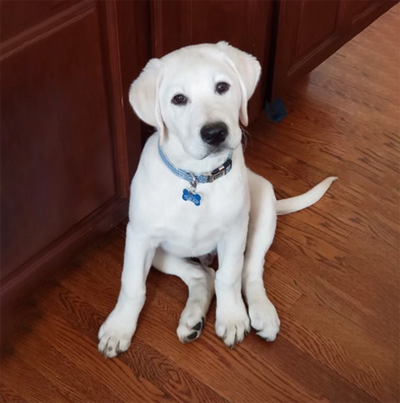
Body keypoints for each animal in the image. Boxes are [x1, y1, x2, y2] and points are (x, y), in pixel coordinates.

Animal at [98, 41, 336, 358]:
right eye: (178, 99)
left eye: (222, 87)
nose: (215, 133)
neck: (197, 178)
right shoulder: (139, 237)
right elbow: (133, 285)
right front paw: (119, 328)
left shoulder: (233, 233)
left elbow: (230, 275)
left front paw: (233, 317)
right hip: (160, 252)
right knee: (202, 276)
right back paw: (192, 320)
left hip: (263, 208)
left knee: (249, 270)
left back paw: (261, 312)